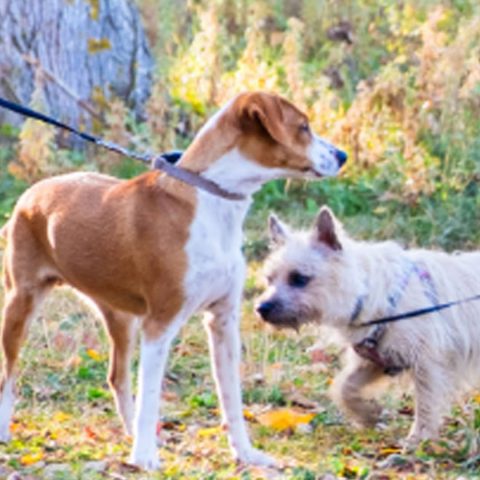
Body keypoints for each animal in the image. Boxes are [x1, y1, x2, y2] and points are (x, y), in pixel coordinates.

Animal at [0, 92, 344, 470]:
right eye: (303, 126)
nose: (342, 156)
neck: (209, 205)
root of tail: (31, 194)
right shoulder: (160, 323)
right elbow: (151, 397)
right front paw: (144, 457)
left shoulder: (223, 321)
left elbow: (232, 399)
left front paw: (245, 453)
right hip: (20, 303)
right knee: (8, 376)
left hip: (121, 318)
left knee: (117, 377)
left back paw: (131, 433)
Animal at [256, 206, 480, 446]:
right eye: (269, 279)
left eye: (299, 278)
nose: (261, 308)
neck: (371, 292)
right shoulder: (375, 360)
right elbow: (343, 387)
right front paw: (367, 414)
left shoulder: (428, 363)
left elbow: (426, 403)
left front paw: (418, 438)